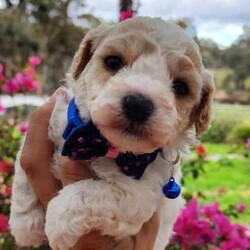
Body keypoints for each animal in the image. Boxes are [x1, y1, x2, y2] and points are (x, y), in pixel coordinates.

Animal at [9, 16, 213, 249]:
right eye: (113, 62)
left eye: (180, 87)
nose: (137, 105)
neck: (101, 144)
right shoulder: (52, 120)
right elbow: (22, 173)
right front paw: (25, 223)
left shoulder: (141, 196)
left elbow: (91, 193)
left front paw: (57, 221)